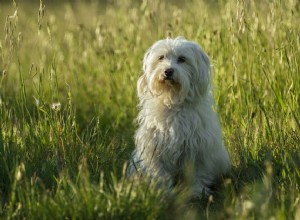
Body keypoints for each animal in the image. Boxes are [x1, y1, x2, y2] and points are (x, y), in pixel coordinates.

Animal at [128, 37, 230, 199]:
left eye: (182, 59)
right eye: (161, 57)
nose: (168, 71)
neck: (173, 102)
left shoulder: (198, 148)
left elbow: (197, 173)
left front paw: (197, 190)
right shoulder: (155, 149)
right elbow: (160, 174)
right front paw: (164, 192)